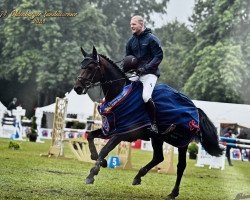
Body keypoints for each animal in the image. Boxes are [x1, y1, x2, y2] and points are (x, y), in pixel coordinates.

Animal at [73, 46, 223, 199]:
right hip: (158, 138)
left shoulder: (121, 133)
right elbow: (90, 135)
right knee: (158, 157)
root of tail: (195, 108)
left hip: (182, 142)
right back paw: (138, 176)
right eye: (81, 66)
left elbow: (104, 149)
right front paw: (99, 160)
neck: (119, 94)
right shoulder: (110, 129)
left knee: (180, 166)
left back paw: (173, 192)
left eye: (90, 67)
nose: (77, 88)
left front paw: (92, 174)